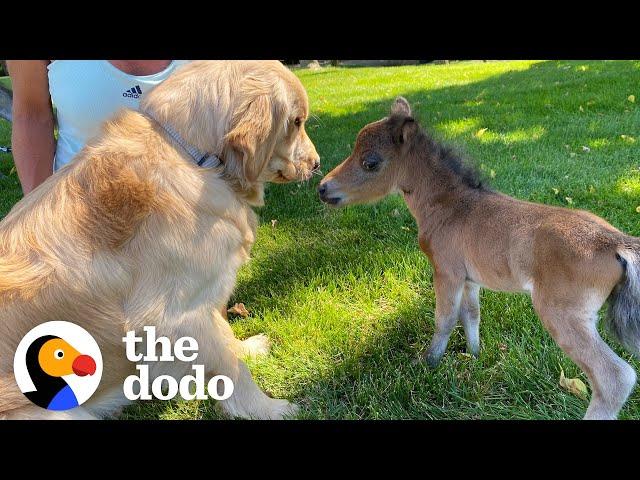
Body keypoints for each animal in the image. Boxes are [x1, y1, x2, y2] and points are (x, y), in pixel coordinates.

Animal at [0, 61, 320, 420]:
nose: (317, 164)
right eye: (297, 122)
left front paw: (248, 348)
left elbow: (227, 340)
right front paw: (269, 408)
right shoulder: (174, 316)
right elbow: (231, 365)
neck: (192, 156)